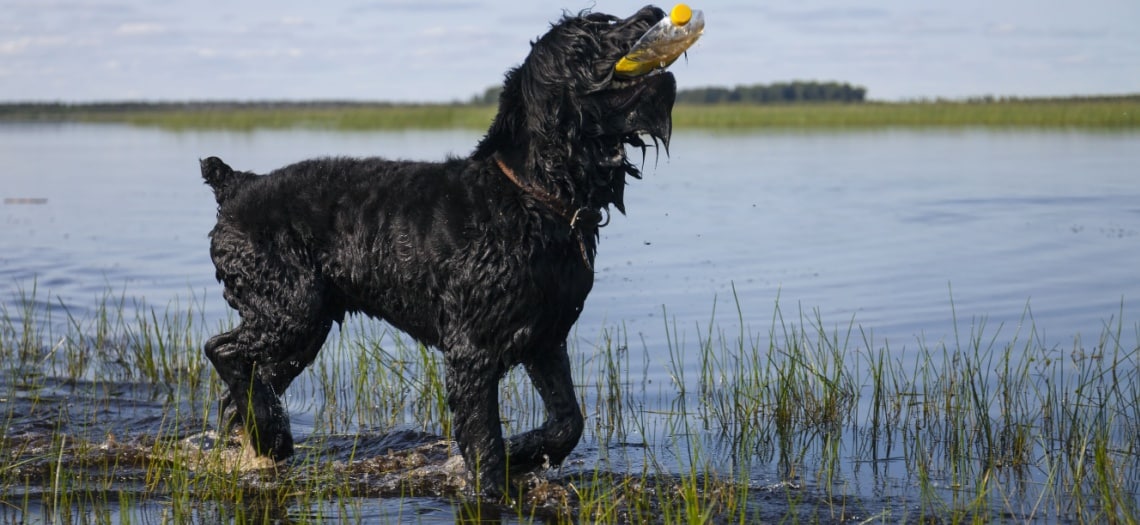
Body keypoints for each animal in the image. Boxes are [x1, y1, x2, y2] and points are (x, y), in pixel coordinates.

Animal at [201, 6, 679, 496]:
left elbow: (568, 422)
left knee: (242, 390)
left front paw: (524, 453)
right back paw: (271, 436)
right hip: (291, 311)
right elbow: (485, 444)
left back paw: (264, 441)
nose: (654, 11)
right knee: (223, 351)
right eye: (593, 33)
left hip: (302, 329)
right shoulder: (473, 351)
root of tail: (236, 185)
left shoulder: (545, 338)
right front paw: (494, 482)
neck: (531, 197)